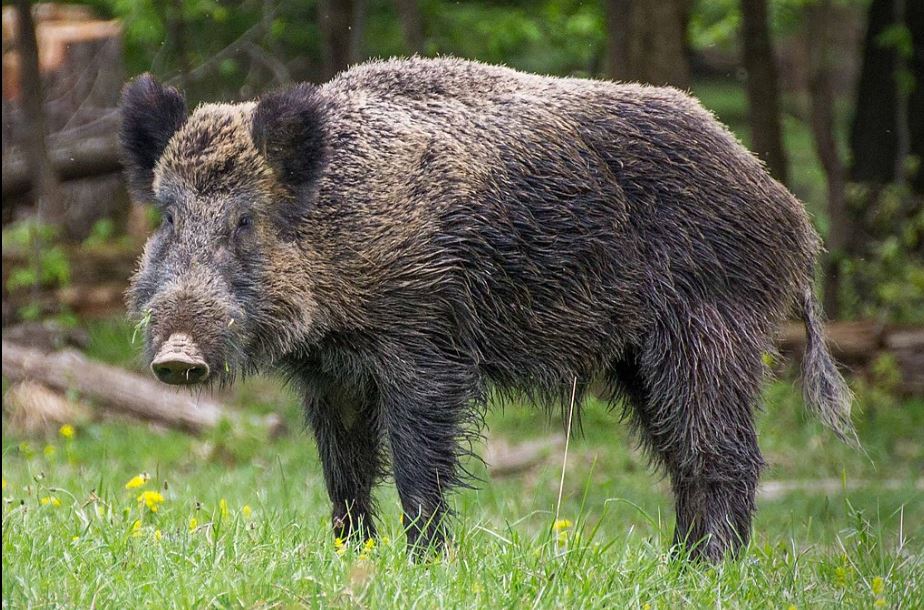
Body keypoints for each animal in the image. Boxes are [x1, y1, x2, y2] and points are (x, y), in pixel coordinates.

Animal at [121, 57, 854, 561]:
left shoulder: (425, 345)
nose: (177, 356)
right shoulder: (331, 375)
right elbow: (344, 471)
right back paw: (678, 563)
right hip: (639, 360)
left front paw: (423, 564)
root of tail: (791, 215)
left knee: (724, 451)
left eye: (245, 220)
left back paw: (706, 569)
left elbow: (418, 465)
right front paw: (351, 554)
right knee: (682, 455)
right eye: (168, 216)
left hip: (709, 327)